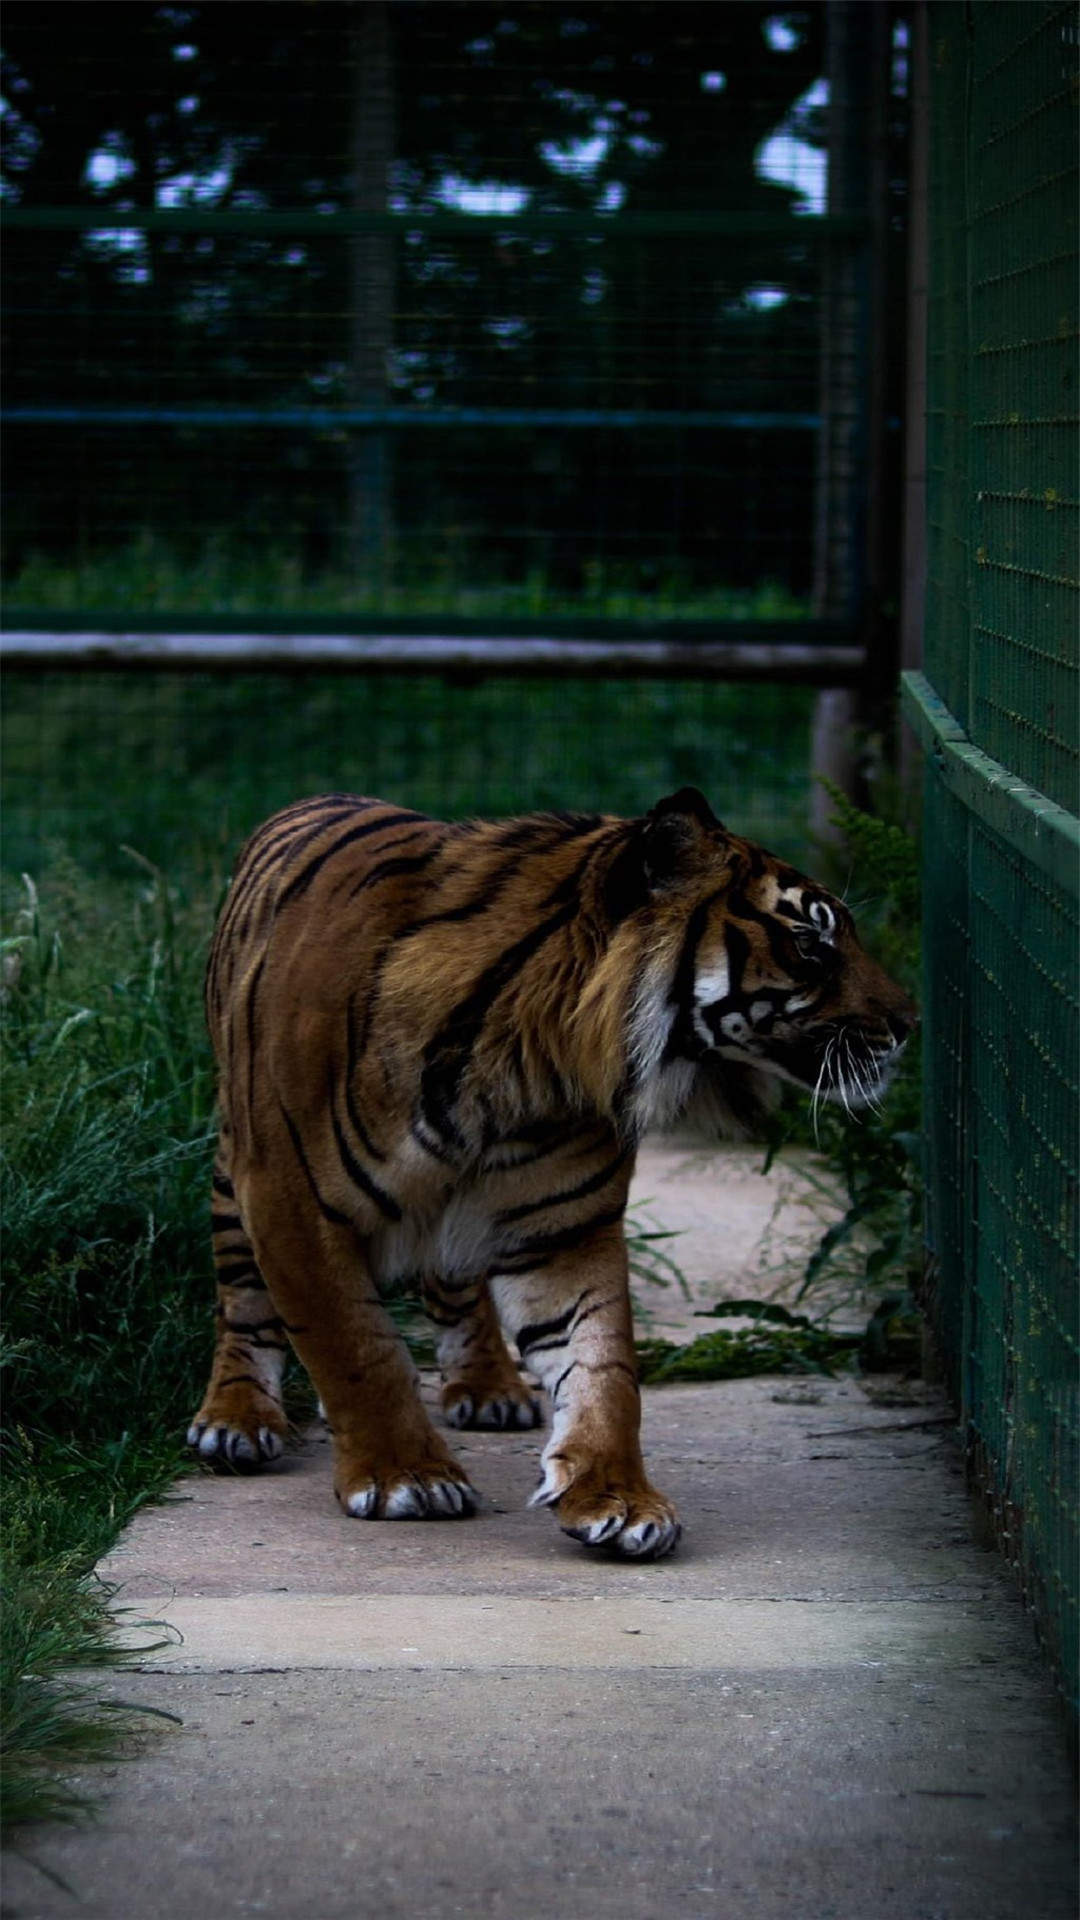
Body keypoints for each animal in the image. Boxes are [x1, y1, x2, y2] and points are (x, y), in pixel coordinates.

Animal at [188, 787, 915, 1559]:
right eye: (811, 943)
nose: (911, 1023)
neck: (526, 1067)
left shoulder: (563, 1228)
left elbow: (602, 1368)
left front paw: (617, 1498)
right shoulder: (291, 1204)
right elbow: (356, 1346)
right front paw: (405, 1476)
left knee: (456, 1285)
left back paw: (490, 1388)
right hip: (234, 1169)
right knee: (242, 1302)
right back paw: (236, 1419)